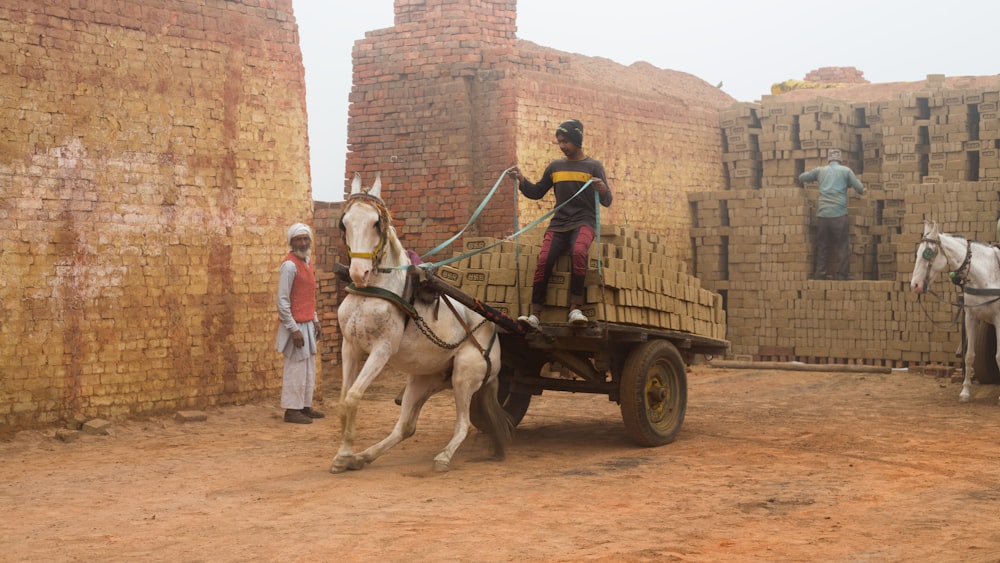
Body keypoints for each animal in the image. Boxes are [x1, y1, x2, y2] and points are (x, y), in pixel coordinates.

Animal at [332, 174, 512, 474]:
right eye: (344, 223)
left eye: (376, 223)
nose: (359, 272)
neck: (372, 292)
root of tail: (493, 333)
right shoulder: (350, 347)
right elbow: (344, 399)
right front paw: (345, 455)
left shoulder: (382, 349)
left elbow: (353, 397)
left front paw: (344, 455)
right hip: (423, 380)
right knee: (405, 427)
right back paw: (363, 457)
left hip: (464, 376)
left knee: (462, 424)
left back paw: (443, 457)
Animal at [912, 220, 1000, 400]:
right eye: (916, 253)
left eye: (927, 253)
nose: (915, 285)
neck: (987, 275)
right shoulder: (971, 317)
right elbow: (969, 355)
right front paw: (965, 391)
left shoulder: (999, 319)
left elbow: (999, 356)